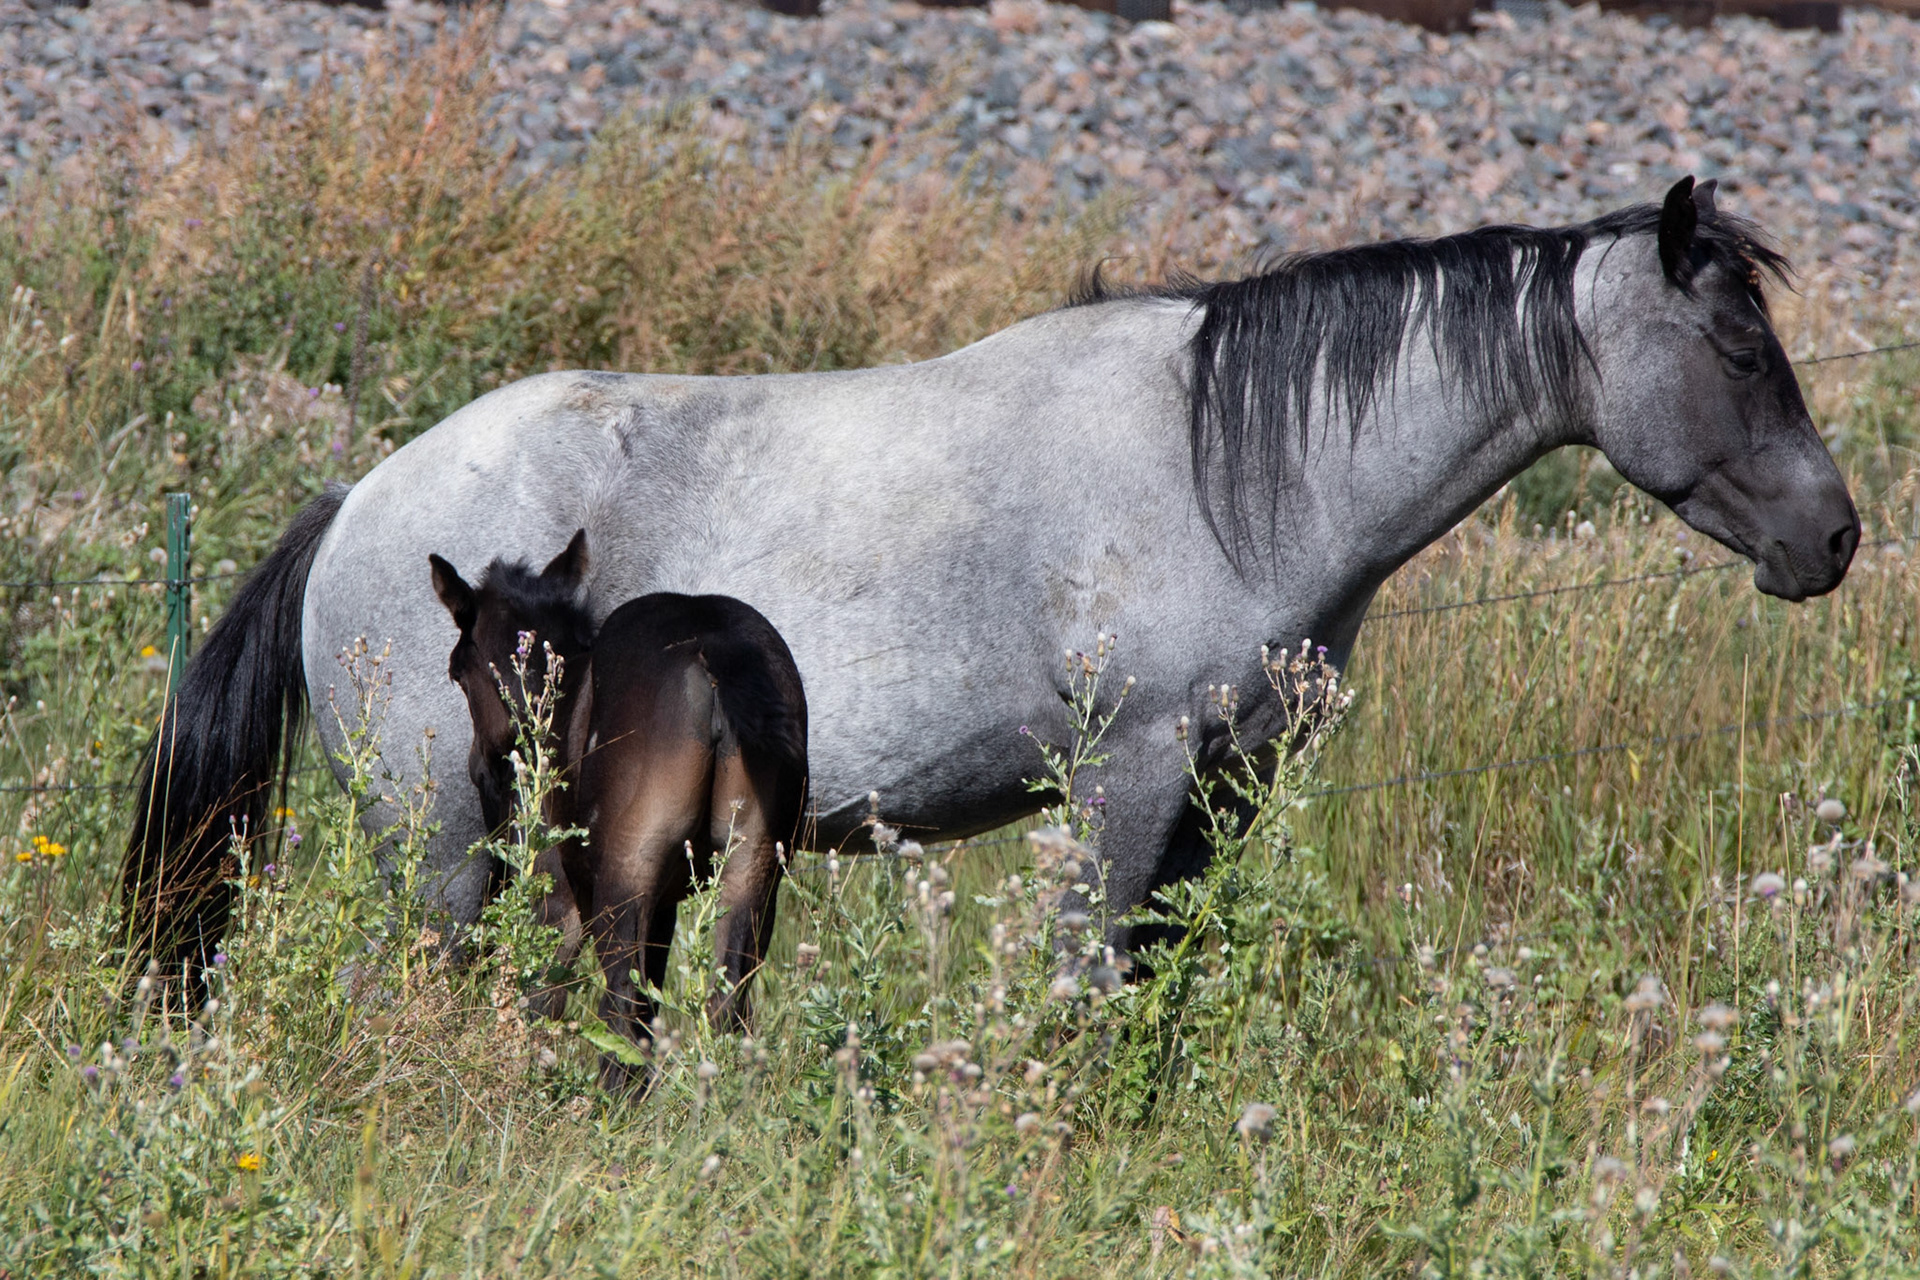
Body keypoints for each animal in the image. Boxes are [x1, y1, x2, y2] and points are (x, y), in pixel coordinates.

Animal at [122, 177, 1858, 978]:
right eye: (1737, 346)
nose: (1833, 536)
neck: (1224, 479)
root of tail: (365, 502)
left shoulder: (1220, 797)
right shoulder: (1125, 782)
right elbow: (1090, 981)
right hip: (445, 835)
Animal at [428, 530, 807, 1084]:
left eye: (458, 672)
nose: (483, 769)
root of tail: (716, 654)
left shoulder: (558, 897)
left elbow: (539, 998)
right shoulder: (668, 903)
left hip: (626, 871)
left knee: (620, 1012)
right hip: (752, 863)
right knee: (726, 1009)